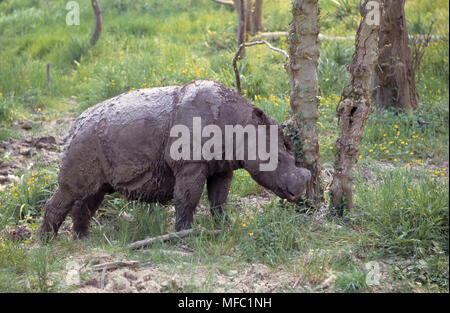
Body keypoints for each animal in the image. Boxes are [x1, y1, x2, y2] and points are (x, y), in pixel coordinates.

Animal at [38, 80, 312, 239]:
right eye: (279, 159)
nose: (302, 190)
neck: (242, 126)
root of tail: (74, 125)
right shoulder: (190, 164)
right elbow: (188, 198)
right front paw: (185, 234)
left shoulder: (222, 165)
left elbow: (218, 199)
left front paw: (226, 226)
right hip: (84, 141)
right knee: (72, 190)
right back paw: (46, 242)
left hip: (95, 143)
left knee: (94, 193)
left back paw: (82, 239)